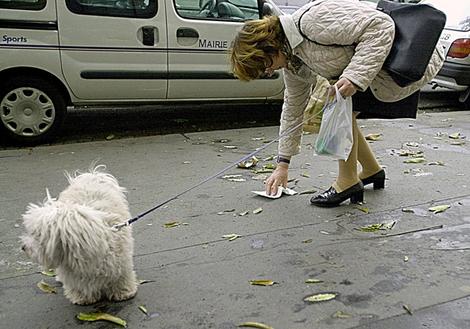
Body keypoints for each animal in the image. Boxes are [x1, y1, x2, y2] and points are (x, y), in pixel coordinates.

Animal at [21, 167, 138, 304]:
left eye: (38, 235)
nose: (23, 247)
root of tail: (92, 175)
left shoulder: (120, 264)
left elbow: (120, 279)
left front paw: (123, 292)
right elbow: (78, 285)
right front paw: (82, 297)